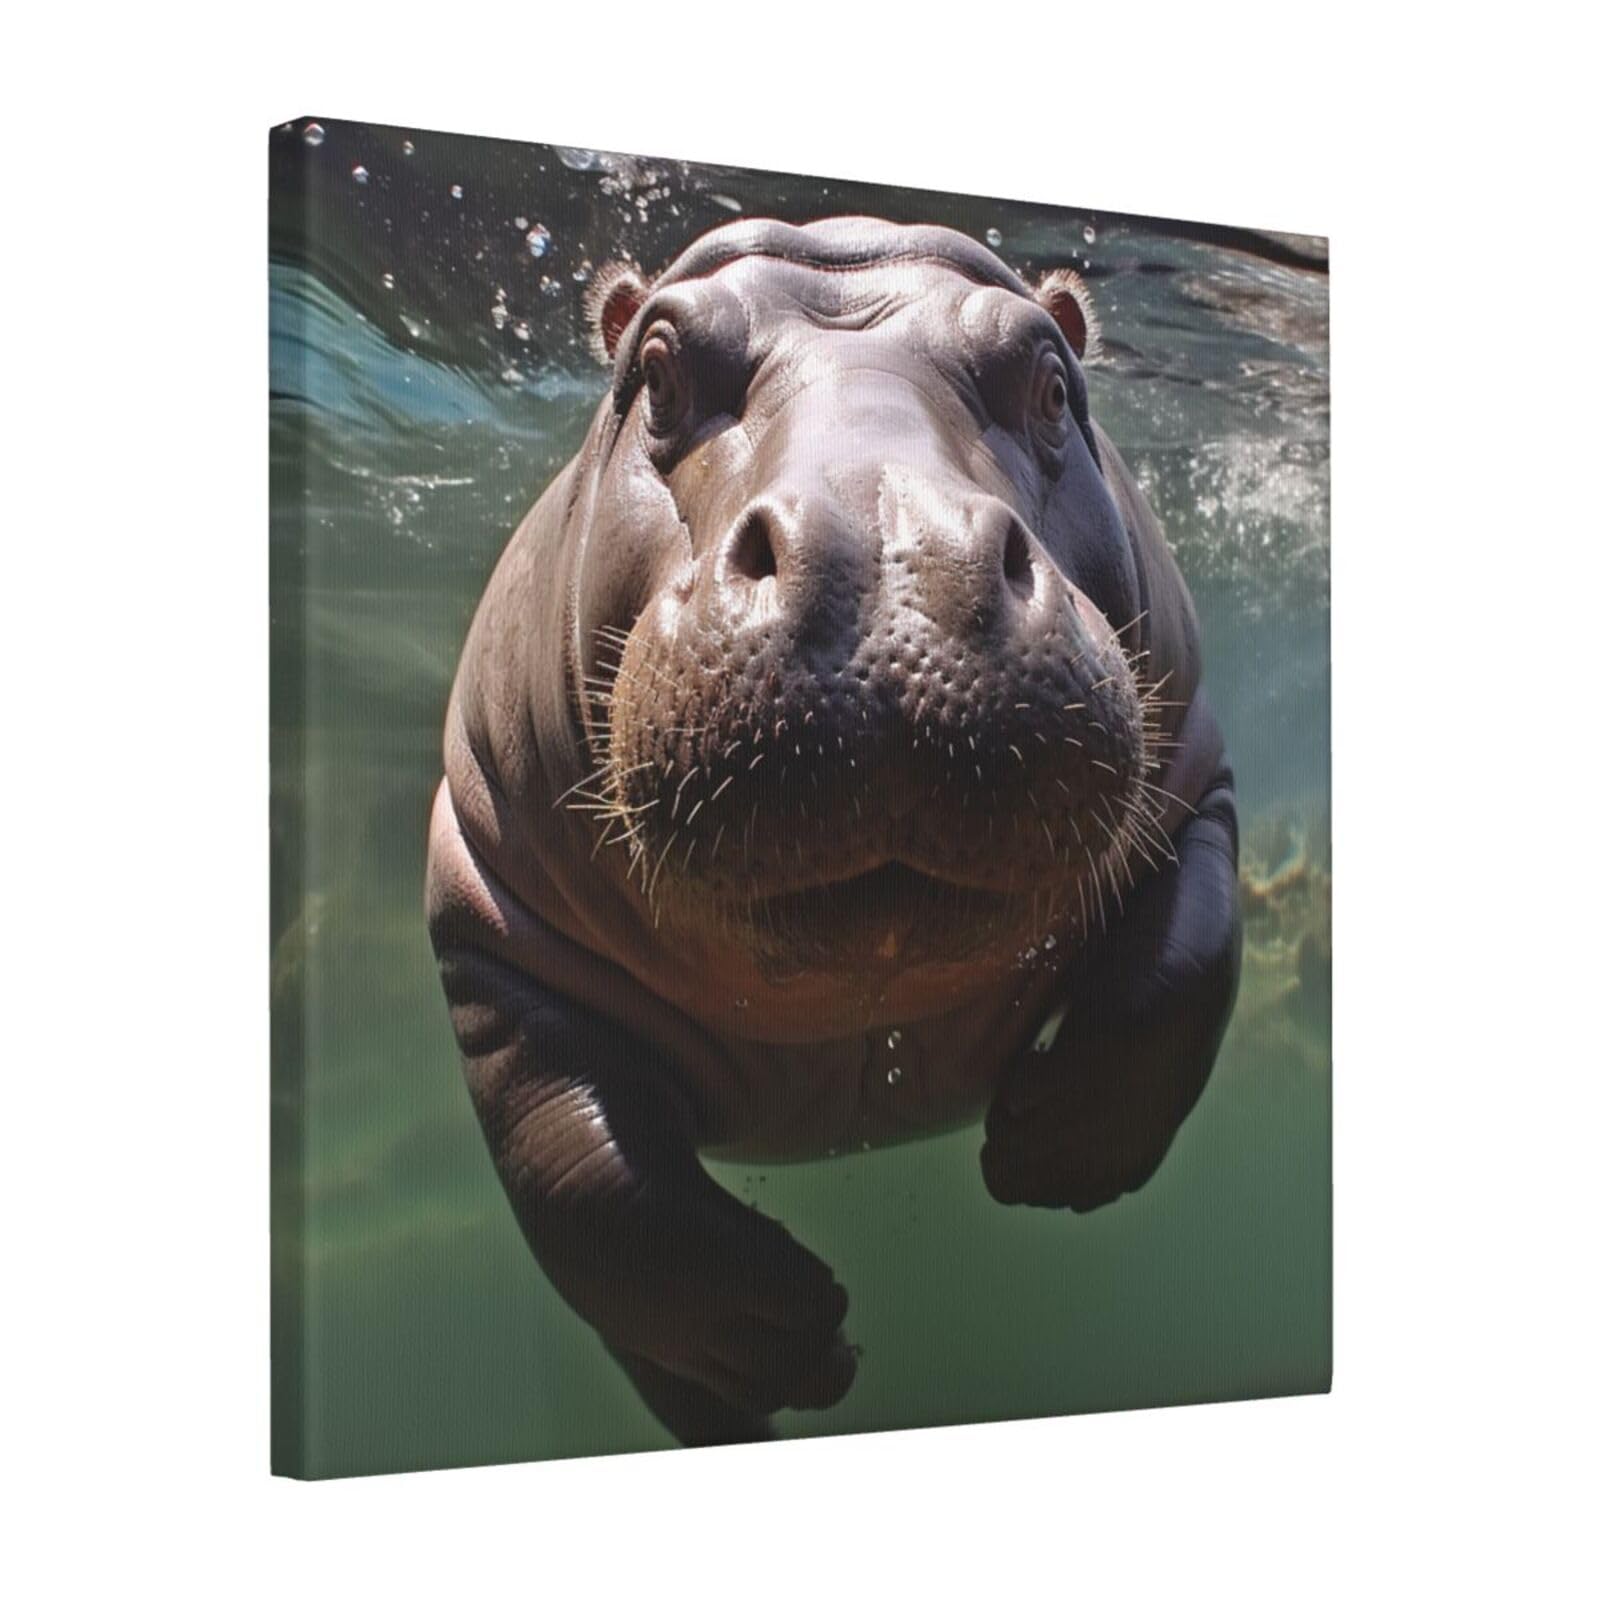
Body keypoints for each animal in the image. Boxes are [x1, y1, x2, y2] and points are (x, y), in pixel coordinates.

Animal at [425, 217, 1241, 1446]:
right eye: (656, 374)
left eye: (1052, 382)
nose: (890, 556)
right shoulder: (486, 908)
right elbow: (579, 1168)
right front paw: (789, 1335)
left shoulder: (1197, 792)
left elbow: (1181, 972)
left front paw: (1049, 1153)